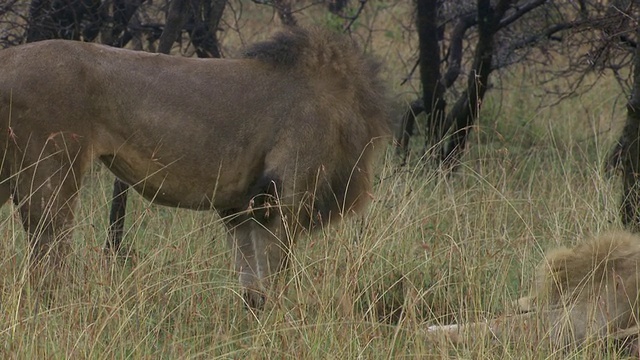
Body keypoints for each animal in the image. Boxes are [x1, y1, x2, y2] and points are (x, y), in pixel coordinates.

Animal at [0, 27, 390, 310]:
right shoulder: (282, 195)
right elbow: (273, 277)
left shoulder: (240, 207)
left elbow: (251, 286)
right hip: (50, 175)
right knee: (46, 266)